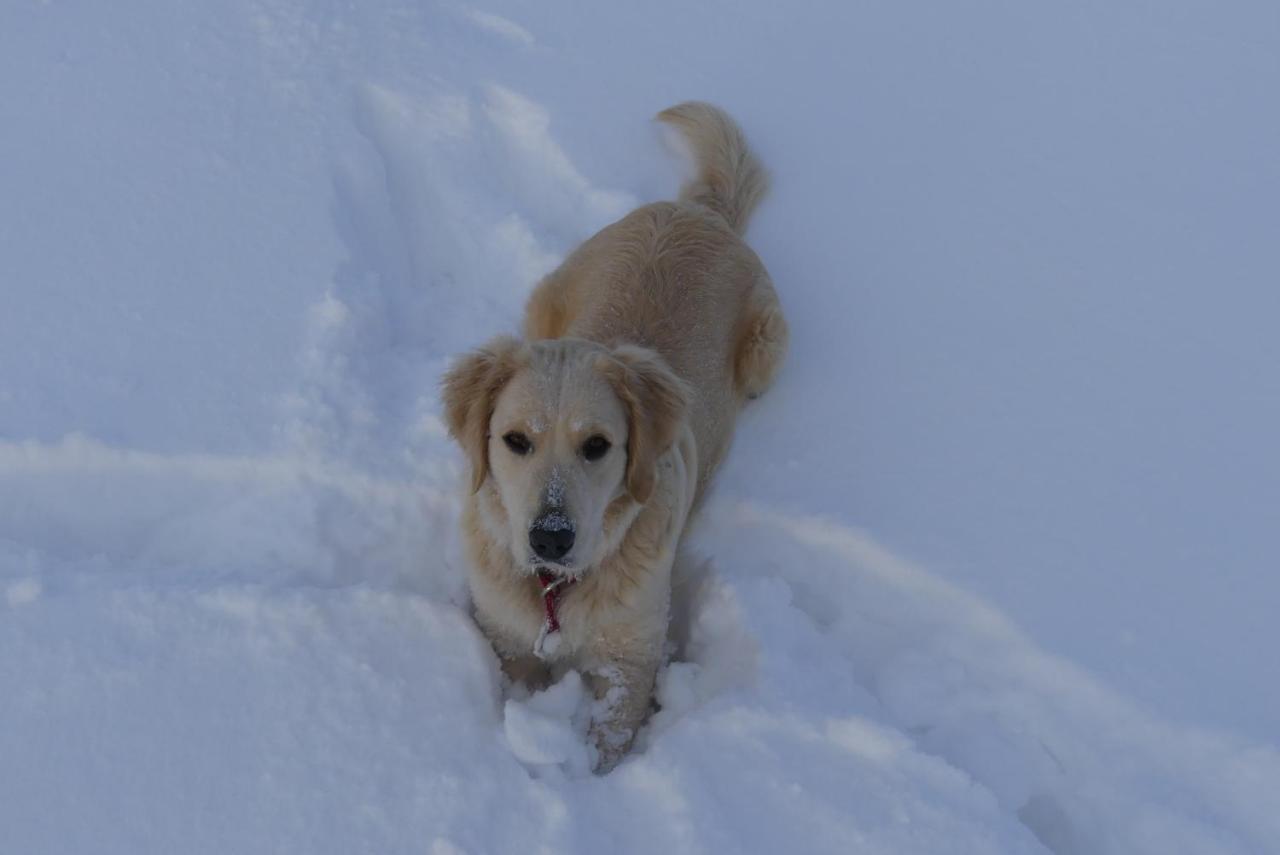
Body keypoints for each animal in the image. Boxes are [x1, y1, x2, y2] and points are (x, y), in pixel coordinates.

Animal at [445, 103, 783, 773]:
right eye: (514, 440)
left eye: (597, 445)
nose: (550, 538)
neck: (556, 592)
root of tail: (699, 211)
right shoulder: (504, 634)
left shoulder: (632, 654)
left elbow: (610, 733)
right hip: (547, 293)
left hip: (767, 346)